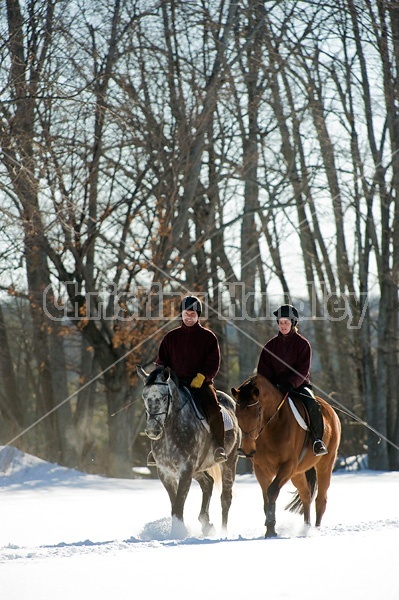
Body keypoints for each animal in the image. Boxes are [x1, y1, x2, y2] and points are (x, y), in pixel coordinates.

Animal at [233, 376, 342, 540]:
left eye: (258, 413)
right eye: (237, 414)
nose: (247, 450)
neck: (272, 426)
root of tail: (330, 409)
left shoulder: (287, 466)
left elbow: (272, 491)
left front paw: (270, 528)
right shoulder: (260, 470)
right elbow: (266, 499)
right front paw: (270, 528)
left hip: (325, 465)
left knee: (320, 500)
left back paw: (315, 530)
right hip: (297, 474)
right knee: (306, 495)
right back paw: (306, 527)